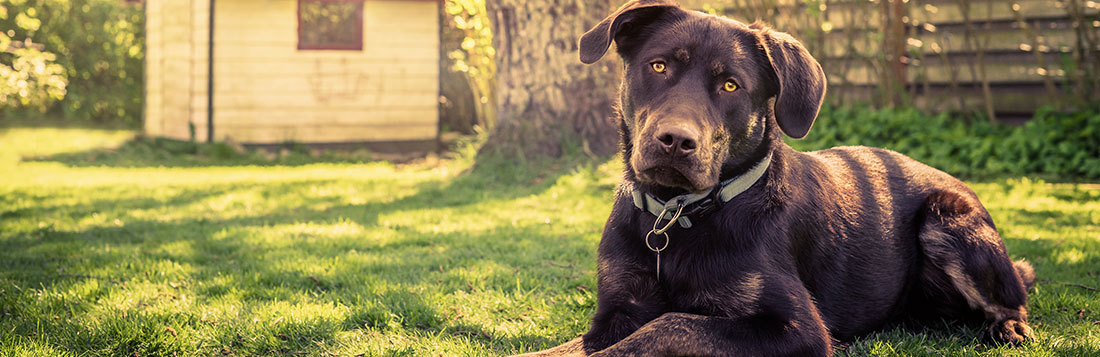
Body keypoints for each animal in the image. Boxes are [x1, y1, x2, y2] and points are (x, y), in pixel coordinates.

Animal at [519, 1, 1034, 353]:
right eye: (659, 65)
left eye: (731, 85)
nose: (676, 141)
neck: (676, 215)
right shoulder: (615, 312)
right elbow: (571, 347)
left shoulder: (796, 329)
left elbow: (668, 325)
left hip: (947, 219)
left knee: (1014, 296)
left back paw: (1008, 325)